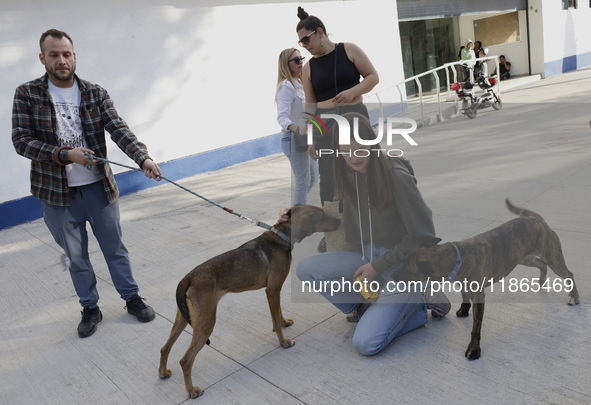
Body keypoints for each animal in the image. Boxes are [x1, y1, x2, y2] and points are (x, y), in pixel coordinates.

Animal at [160, 205, 340, 398]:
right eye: (322, 217)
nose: (340, 221)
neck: (281, 237)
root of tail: (187, 278)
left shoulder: (274, 290)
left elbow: (278, 313)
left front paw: (284, 322)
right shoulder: (272, 290)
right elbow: (276, 321)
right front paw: (283, 342)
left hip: (183, 319)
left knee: (165, 348)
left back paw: (163, 373)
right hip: (206, 322)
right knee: (185, 360)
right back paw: (192, 391)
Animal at [396, 199, 580, 360]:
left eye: (406, 270)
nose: (392, 275)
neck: (457, 257)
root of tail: (537, 220)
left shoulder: (479, 297)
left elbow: (476, 327)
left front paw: (474, 348)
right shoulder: (463, 284)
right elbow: (464, 297)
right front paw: (464, 309)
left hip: (553, 256)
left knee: (568, 274)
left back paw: (573, 297)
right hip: (523, 257)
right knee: (542, 264)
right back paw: (541, 281)